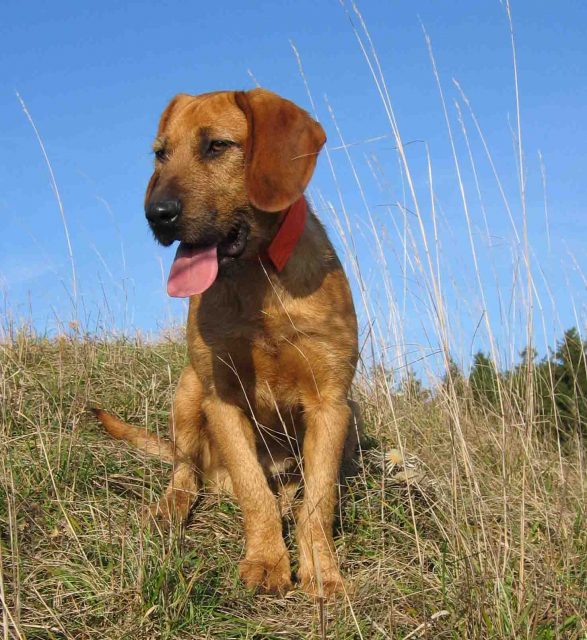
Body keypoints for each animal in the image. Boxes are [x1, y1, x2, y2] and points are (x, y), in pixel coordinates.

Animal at [93, 89, 358, 596]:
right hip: (188, 389)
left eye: (216, 146)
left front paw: (323, 572)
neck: (258, 281)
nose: (156, 215)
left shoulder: (330, 403)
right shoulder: (222, 396)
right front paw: (266, 561)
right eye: (161, 154)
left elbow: (318, 500)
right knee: (186, 472)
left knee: (289, 493)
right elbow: (254, 490)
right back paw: (170, 510)